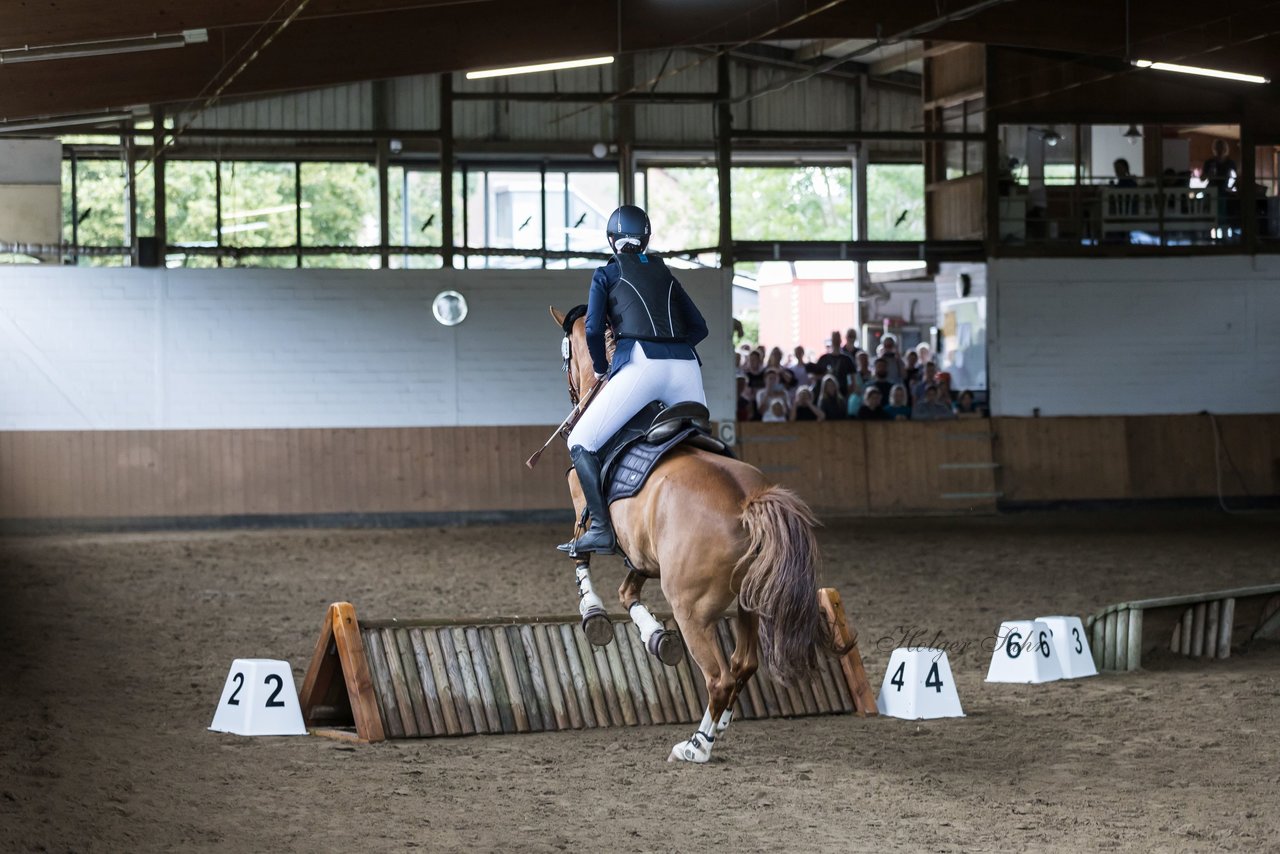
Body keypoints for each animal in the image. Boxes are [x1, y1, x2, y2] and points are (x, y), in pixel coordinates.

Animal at [547, 303, 829, 763]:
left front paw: (593, 613)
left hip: (691, 609)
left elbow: (580, 556)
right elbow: (628, 591)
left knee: (719, 675)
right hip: (747, 603)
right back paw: (722, 722)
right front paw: (656, 637)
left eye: (565, 355)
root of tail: (747, 502)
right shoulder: (644, 553)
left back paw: (697, 746)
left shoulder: (581, 509)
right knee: (743, 664)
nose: (573, 401)